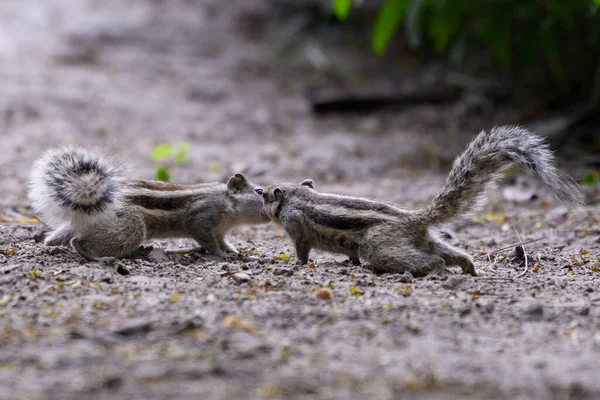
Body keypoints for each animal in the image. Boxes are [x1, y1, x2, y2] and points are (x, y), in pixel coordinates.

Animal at [28, 148, 268, 260]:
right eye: (260, 192)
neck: (229, 207)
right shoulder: (201, 216)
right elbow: (207, 240)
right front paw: (221, 255)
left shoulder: (220, 230)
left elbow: (222, 240)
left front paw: (233, 250)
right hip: (130, 225)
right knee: (78, 241)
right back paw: (100, 258)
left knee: (59, 237)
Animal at [258, 126, 584, 276]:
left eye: (269, 192)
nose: (259, 192)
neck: (297, 196)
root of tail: (413, 219)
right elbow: (348, 255)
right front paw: (348, 264)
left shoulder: (297, 228)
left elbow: (302, 250)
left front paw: (297, 264)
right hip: (424, 240)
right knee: (452, 254)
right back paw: (469, 268)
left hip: (380, 246)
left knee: (432, 260)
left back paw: (435, 271)